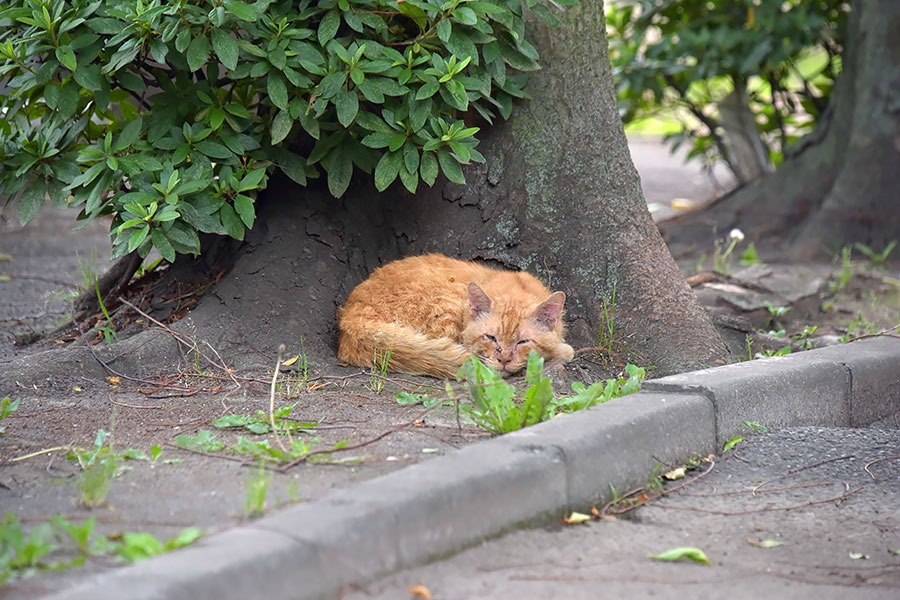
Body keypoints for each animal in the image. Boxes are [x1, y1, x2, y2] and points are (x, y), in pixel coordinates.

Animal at [338, 254, 576, 378]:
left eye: (523, 342)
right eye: (490, 338)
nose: (504, 359)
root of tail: (350, 318)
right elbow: (565, 350)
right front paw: (561, 350)